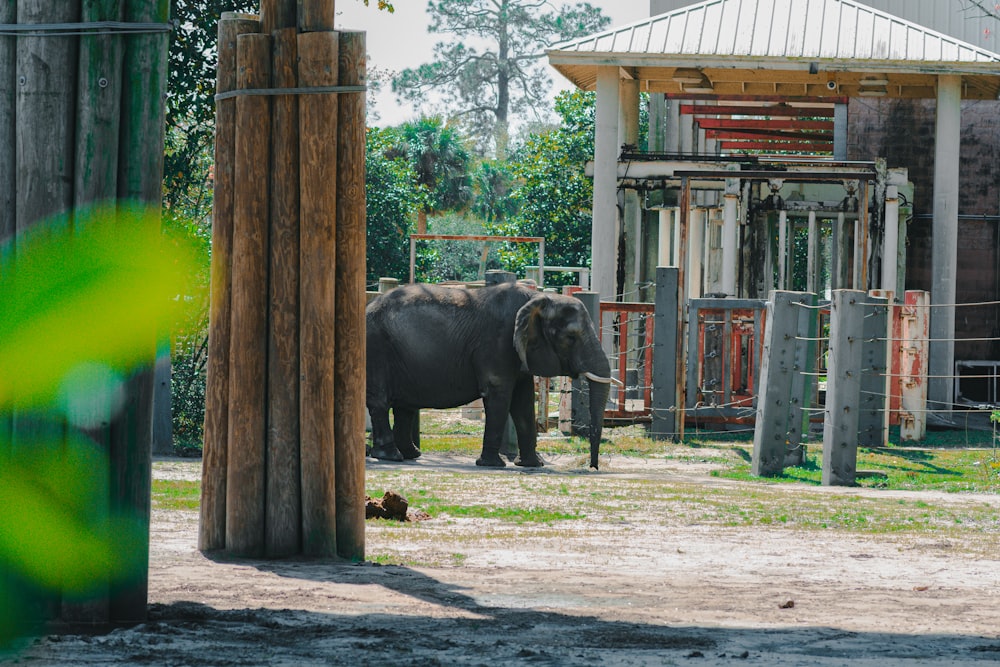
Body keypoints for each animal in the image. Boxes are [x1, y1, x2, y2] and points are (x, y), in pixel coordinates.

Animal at [370, 282, 616, 470]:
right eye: (570, 337)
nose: (592, 466)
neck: (537, 298)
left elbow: (523, 401)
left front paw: (532, 465)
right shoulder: (498, 342)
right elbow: (499, 393)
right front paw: (492, 464)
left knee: (405, 406)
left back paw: (410, 455)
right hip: (377, 346)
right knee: (381, 401)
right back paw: (391, 457)